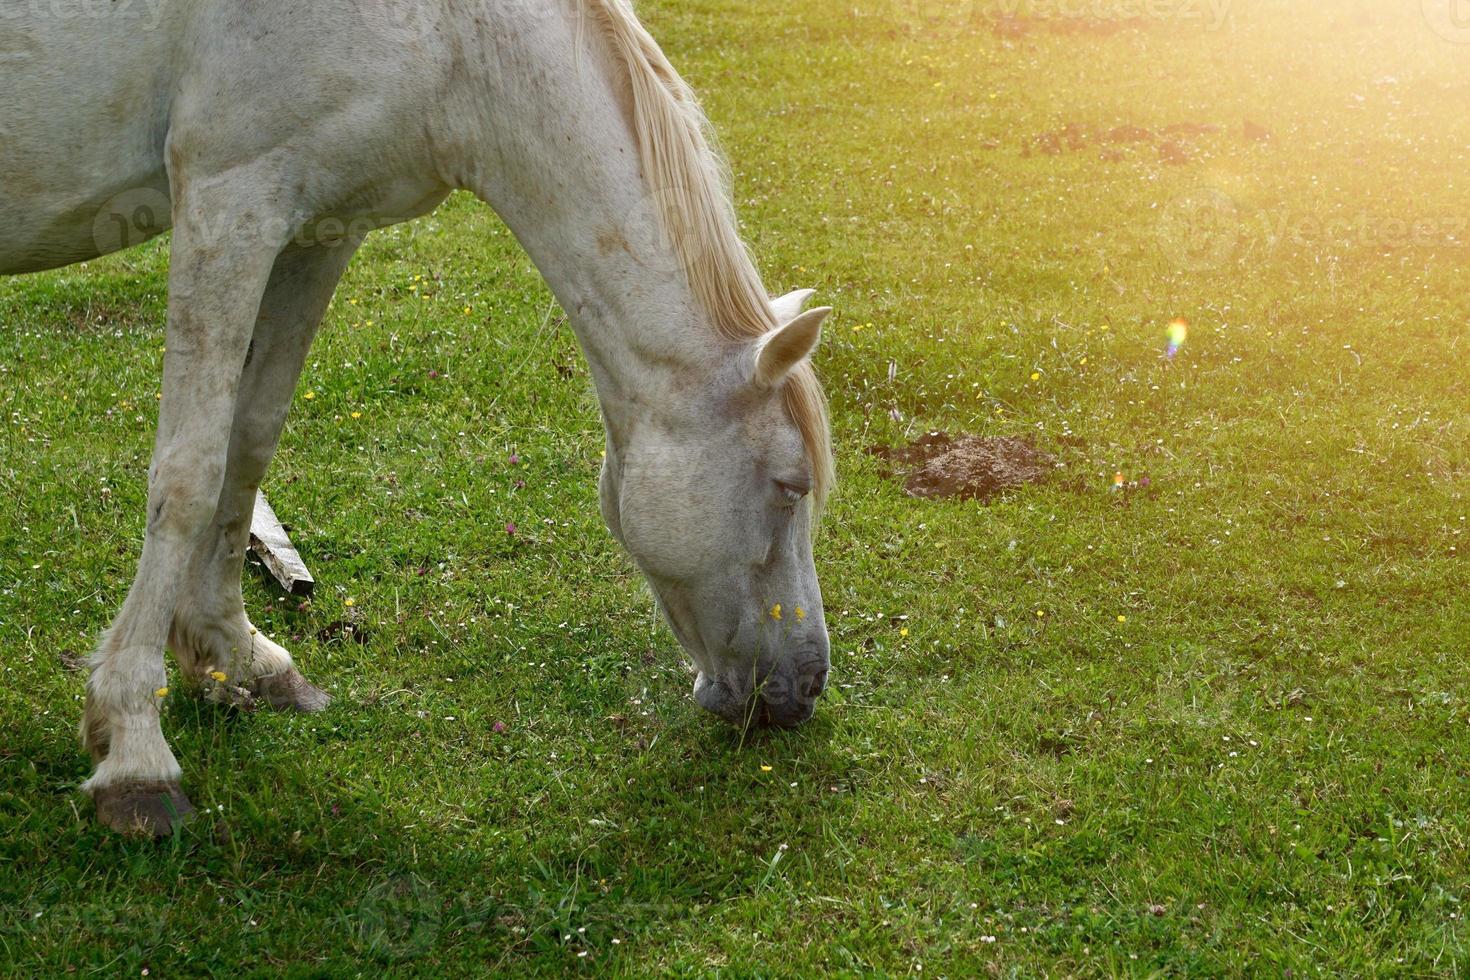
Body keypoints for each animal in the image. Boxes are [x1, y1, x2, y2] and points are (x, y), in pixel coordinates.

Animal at [2, 0, 829, 834]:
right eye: (791, 486)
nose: (805, 685)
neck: (454, 38)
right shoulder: (228, 205)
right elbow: (189, 476)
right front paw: (134, 749)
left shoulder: (317, 228)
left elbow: (250, 440)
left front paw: (236, 656)